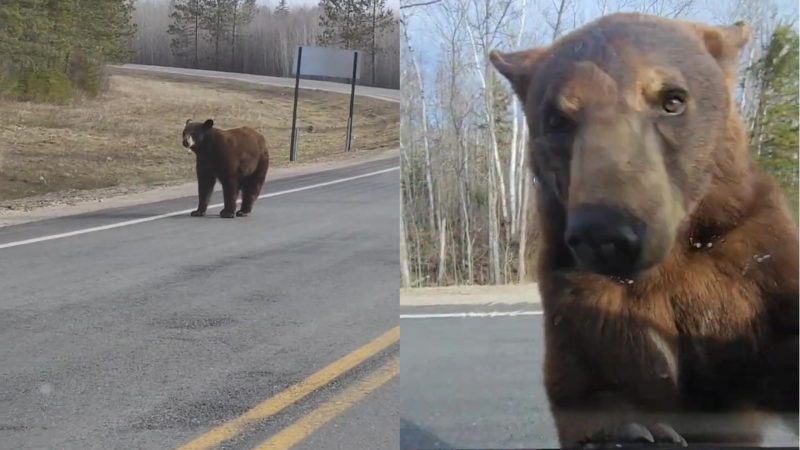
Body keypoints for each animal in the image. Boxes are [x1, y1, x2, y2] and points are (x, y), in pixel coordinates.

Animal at [490, 12, 798, 448]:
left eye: (673, 99)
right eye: (556, 119)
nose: (606, 233)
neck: (671, 259)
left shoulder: (749, 258)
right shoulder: (575, 293)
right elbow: (590, 382)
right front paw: (634, 431)